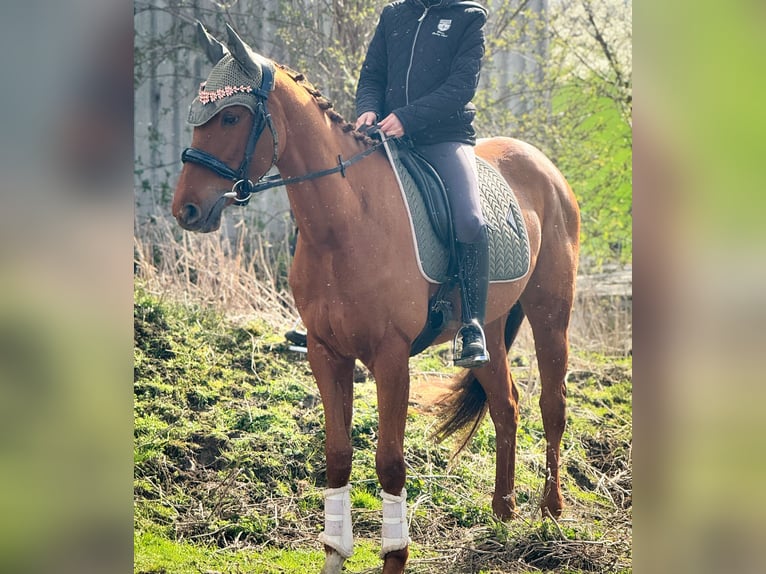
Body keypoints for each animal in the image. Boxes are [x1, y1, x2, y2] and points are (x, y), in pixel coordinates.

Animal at [172, 23, 580, 574]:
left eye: (232, 116)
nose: (187, 210)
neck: (344, 224)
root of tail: (543, 164)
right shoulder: (326, 353)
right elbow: (337, 455)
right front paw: (334, 553)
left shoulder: (390, 358)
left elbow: (389, 461)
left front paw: (394, 555)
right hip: (490, 327)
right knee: (506, 404)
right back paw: (503, 513)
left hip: (551, 312)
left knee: (552, 404)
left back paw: (551, 514)